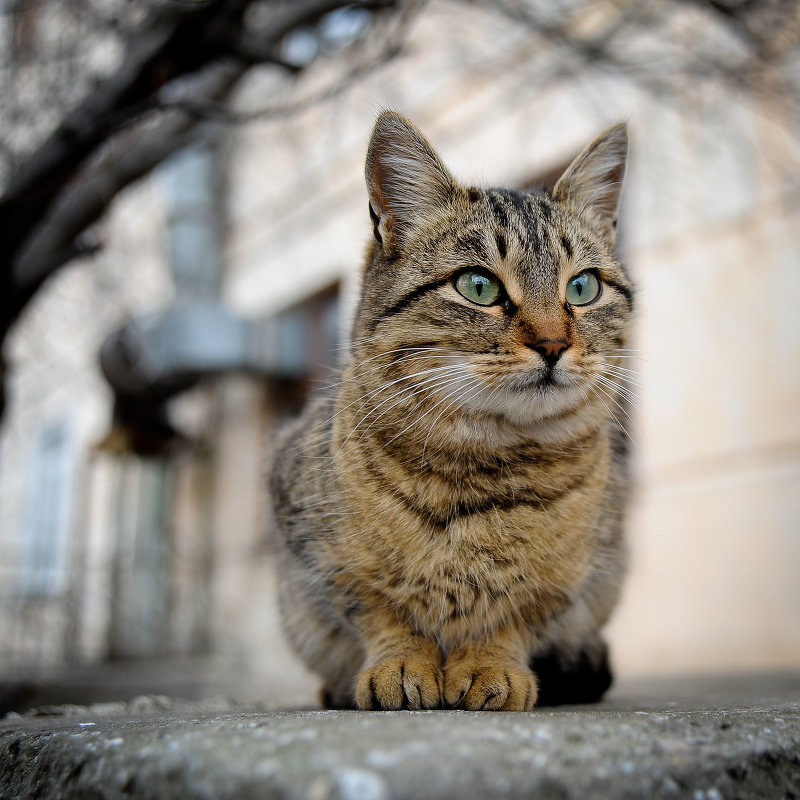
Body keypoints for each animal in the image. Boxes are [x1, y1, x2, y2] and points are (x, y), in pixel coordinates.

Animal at [272, 109, 636, 708]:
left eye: (582, 287)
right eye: (479, 286)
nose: (553, 344)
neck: (482, 464)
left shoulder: (569, 580)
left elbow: (511, 618)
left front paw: (491, 667)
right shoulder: (326, 563)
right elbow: (383, 613)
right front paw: (400, 665)